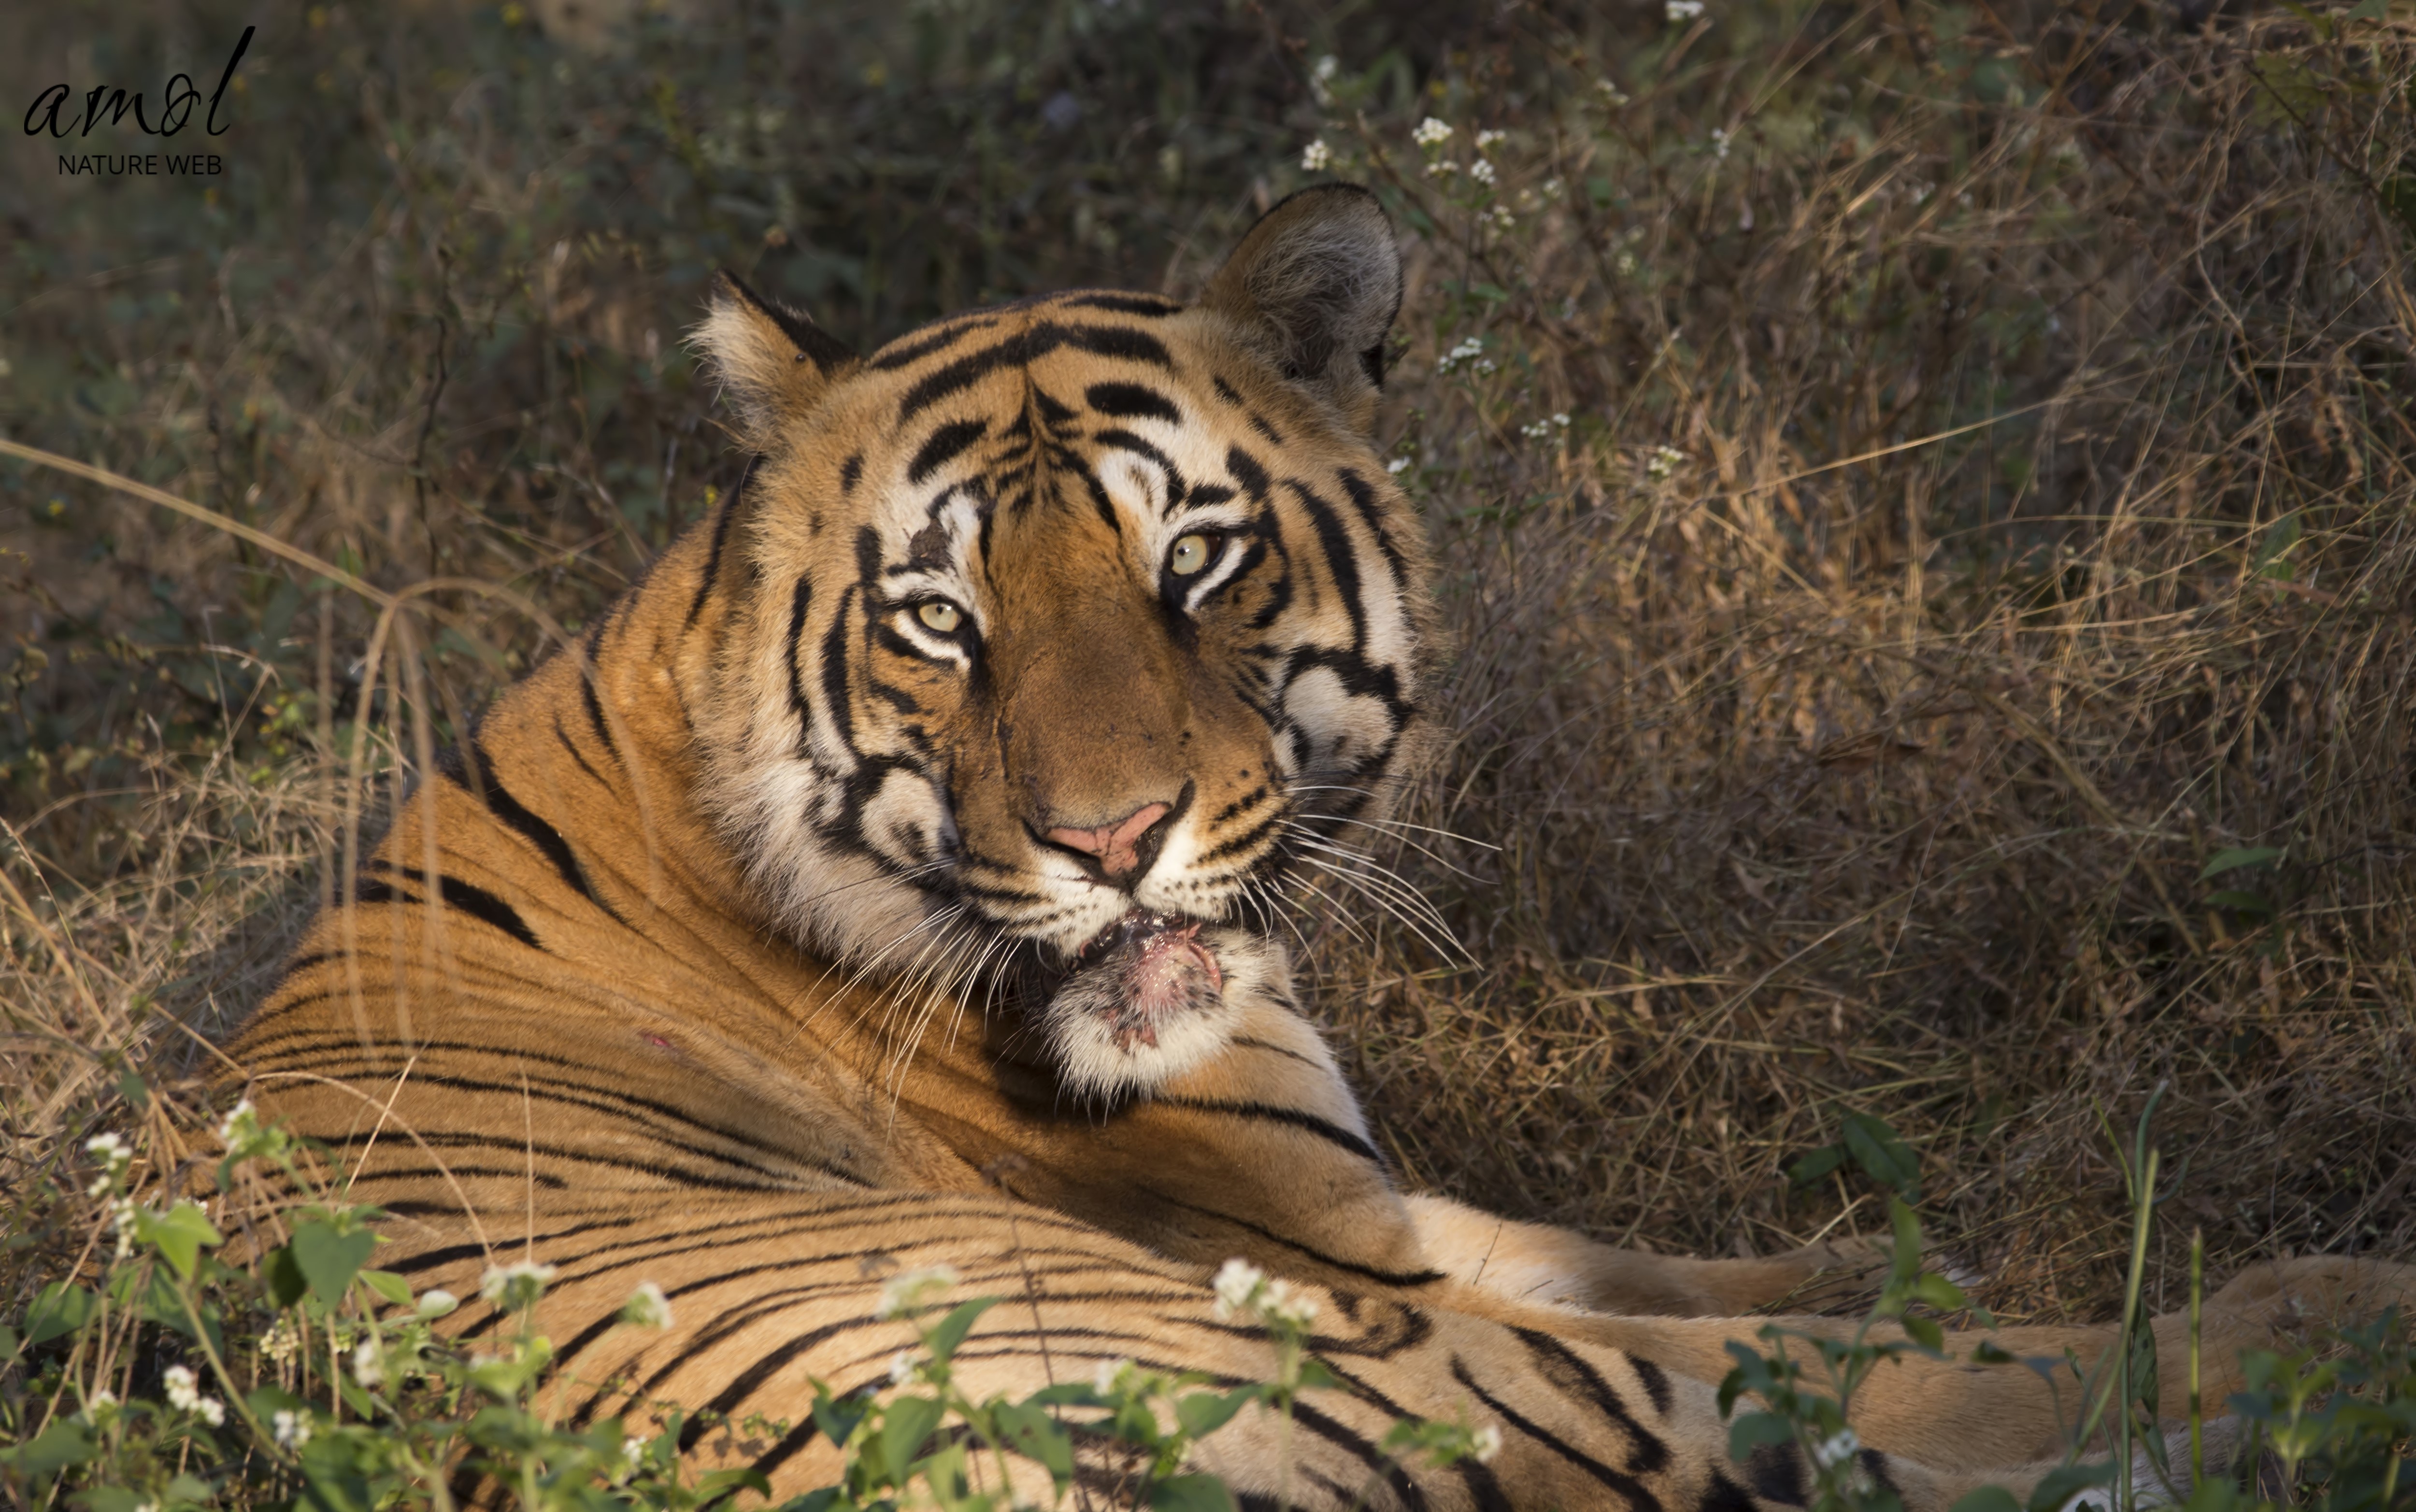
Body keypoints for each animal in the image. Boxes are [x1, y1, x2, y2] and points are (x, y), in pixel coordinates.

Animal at [217, 191, 2406, 1507]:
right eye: (938, 618)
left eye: (1192, 559)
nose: (1113, 839)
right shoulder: (1334, 1251)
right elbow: (1858, 1333)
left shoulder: (1383, 1208)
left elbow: (1705, 1250)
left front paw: (1899, 1241)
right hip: (1333, 1355)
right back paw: (2318, 1328)